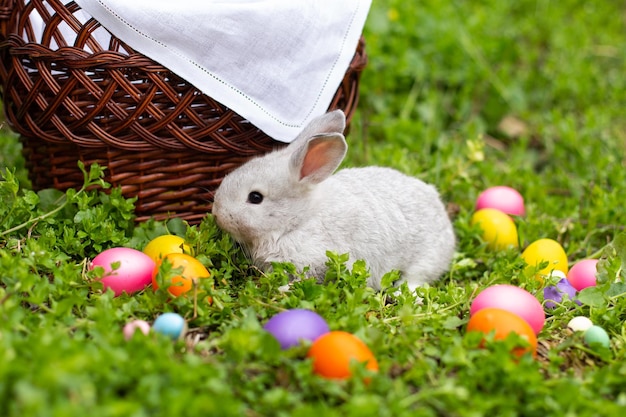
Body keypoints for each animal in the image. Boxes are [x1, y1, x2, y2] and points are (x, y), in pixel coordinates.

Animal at [211, 111, 454, 292]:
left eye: (255, 197)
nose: (216, 212)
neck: (297, 221)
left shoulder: (316, 262)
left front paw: (282, 290)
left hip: (426, 258)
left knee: (416, 278)